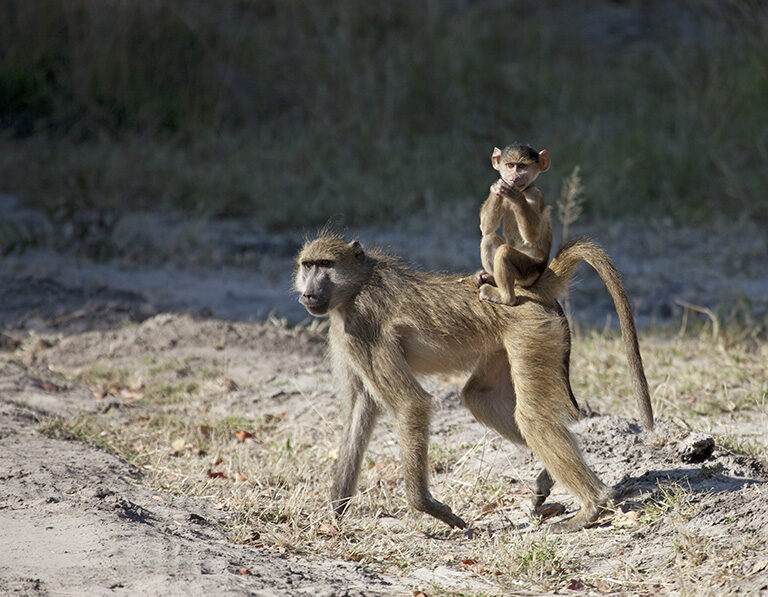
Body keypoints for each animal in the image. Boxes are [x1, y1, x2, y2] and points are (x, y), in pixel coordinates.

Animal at [294, 233, 652, 532]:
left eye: (325, 265)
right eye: (307, 265)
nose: (308, 294)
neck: (358, 285)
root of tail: (528, 290)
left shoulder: (362, 326)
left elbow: (411, 403)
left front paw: (432, 508)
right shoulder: (349, 336)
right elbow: (361, 408)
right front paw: (335, 512)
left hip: (531, 331)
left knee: (531, 419)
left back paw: (592, 507)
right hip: (510, 342)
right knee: (480, 397)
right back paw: (550, 478)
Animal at [476, 143, 552, 306]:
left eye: (522, 166)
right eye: (511, 165)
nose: (514, 177)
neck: (525, 190)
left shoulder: (535, 195)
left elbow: (533, 235)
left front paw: (515, 195)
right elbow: (485, 227)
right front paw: (497, 187)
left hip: (530, 271)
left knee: (505, 252)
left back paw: (506, 298)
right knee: (488, 238)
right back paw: (490, 278)